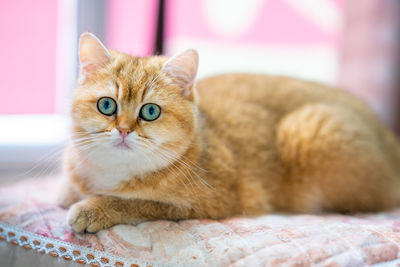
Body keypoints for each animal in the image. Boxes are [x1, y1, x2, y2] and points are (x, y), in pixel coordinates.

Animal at [57, 31, 400, 234]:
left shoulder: (204, 203)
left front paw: (93, 208)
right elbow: (66, 193)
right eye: (106, 105)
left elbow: (135, 203)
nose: (124, 130)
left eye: (150, 112)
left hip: (307, 128)